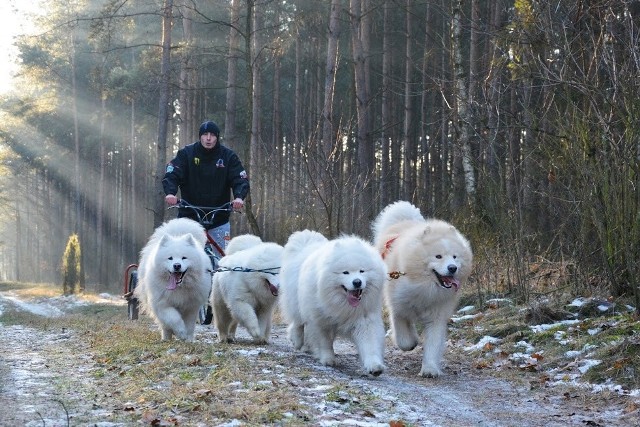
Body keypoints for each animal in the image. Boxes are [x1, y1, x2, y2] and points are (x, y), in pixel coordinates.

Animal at [278, 229, 388, 376]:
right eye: (345, 272)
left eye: (362, 271)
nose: (357, 282)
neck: (341, 305)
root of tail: (306, 246)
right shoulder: (319, 320)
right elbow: (324, 342)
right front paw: (328, 359)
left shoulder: (365, 320)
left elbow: (370, 344)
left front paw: (374, 366)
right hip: (296, 303)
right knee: (298, 322)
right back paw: (297, 340)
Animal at [372, 201, 472, 378]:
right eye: (438, 256)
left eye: (455, 257)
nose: (452, 268)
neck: (425, 288)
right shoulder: (399, 307)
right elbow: (404, 338)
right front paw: (411, 341)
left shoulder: (437, 314)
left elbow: (433, 344)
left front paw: (430, 369)